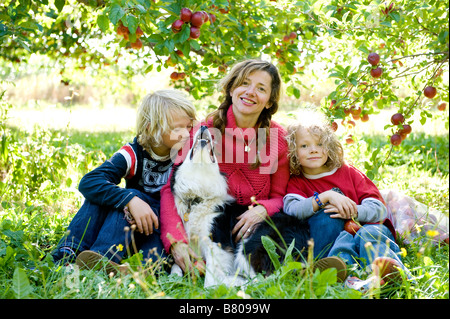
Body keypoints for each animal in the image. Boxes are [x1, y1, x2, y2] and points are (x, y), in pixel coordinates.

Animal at [170, 125, 310, 288]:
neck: (199, 196)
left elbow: (209, 282)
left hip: (252, 243)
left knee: (263, 280)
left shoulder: (218, 243)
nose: (204, 126)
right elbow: (178, 264)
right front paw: (176, 275)